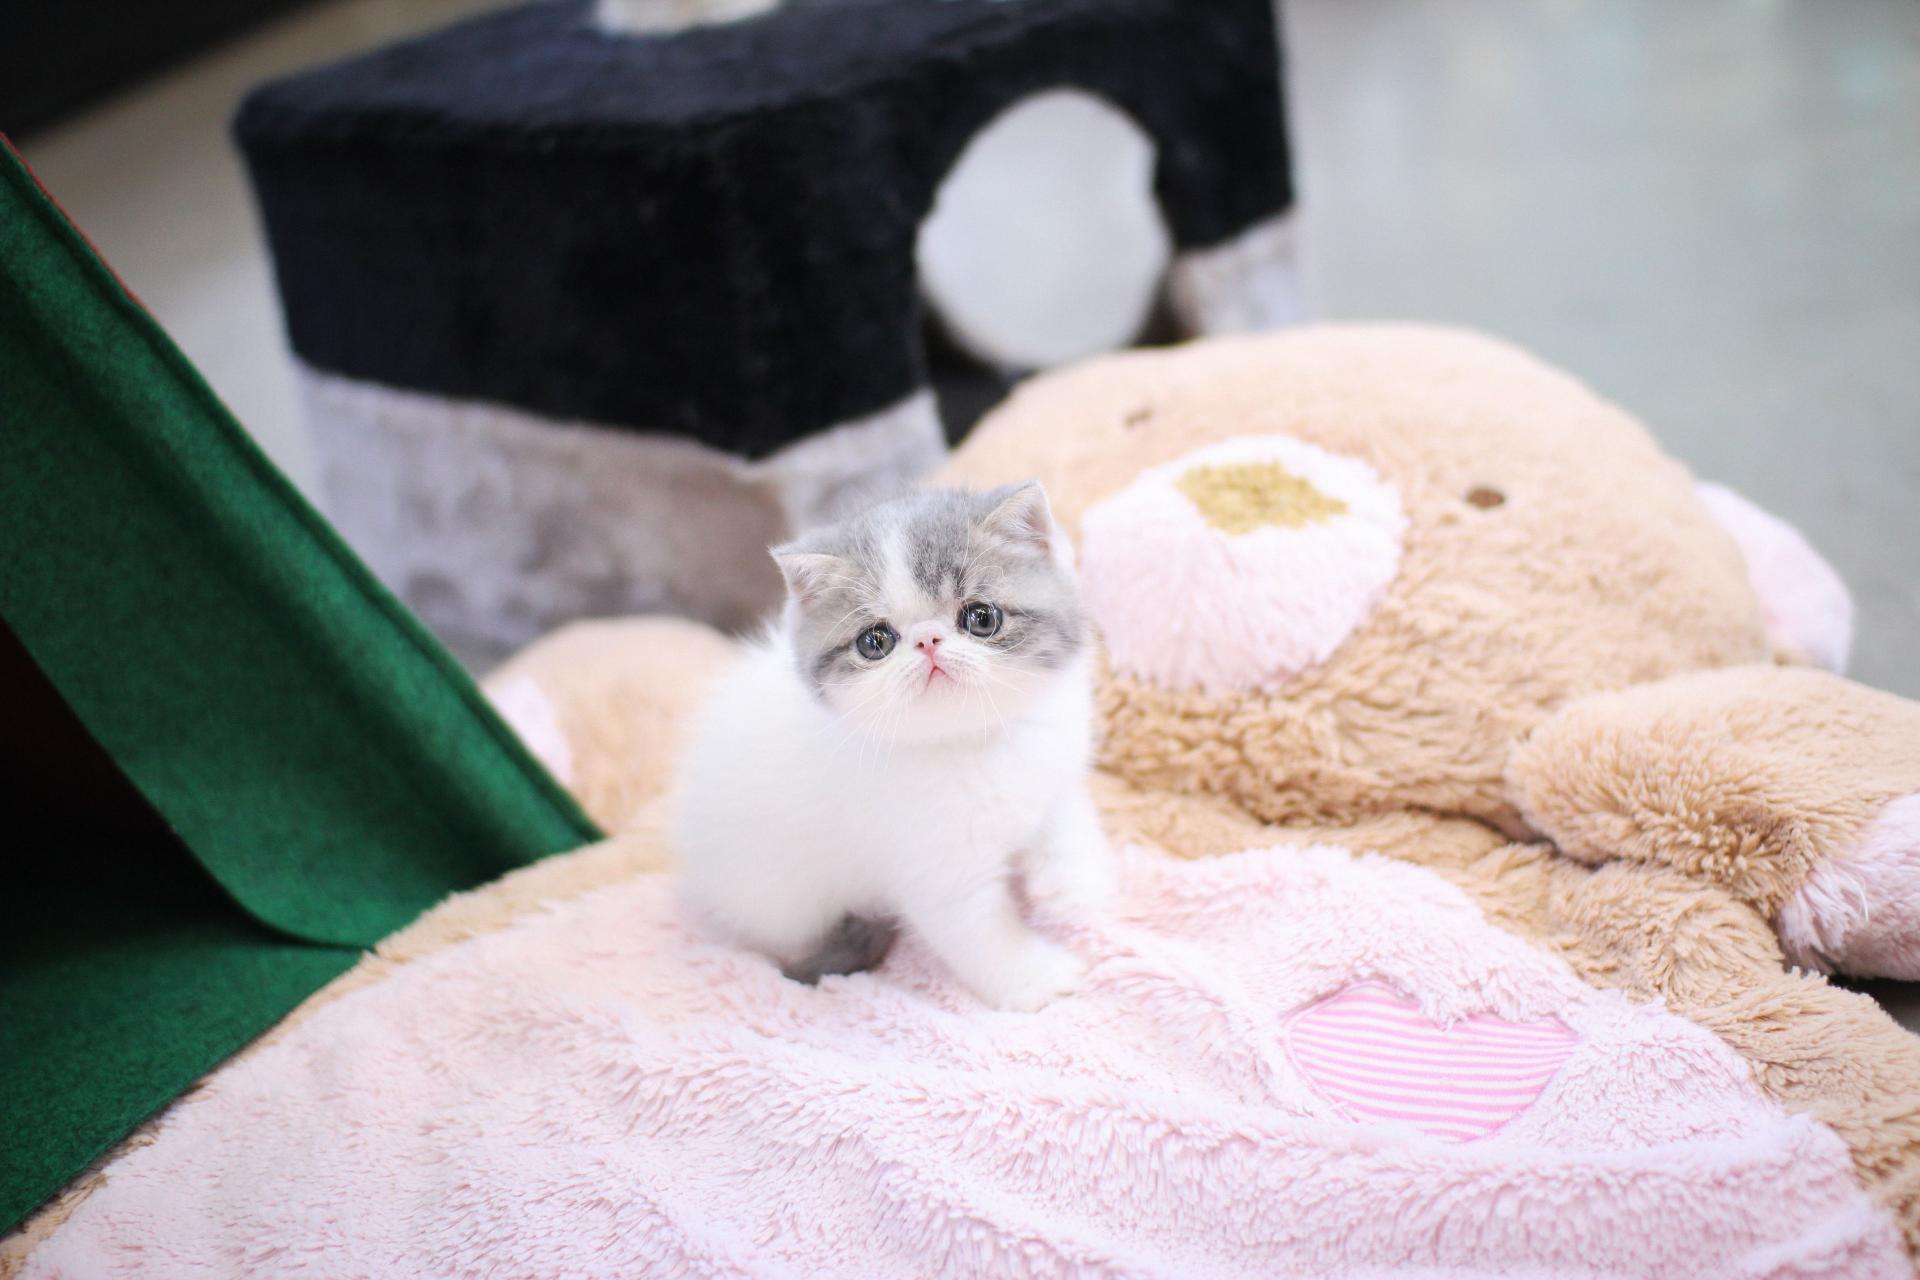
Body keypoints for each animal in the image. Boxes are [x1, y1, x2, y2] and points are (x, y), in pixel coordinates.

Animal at [672, 481, 1111, 1010]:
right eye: (875, 641)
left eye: (981, 618)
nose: (928, 641)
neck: (970, 742)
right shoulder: (932, 863)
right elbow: (977, 931)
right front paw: (1036, 977)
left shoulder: (1054, 758)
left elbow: (1063, 812)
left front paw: (1075, 885)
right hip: (771, 897)